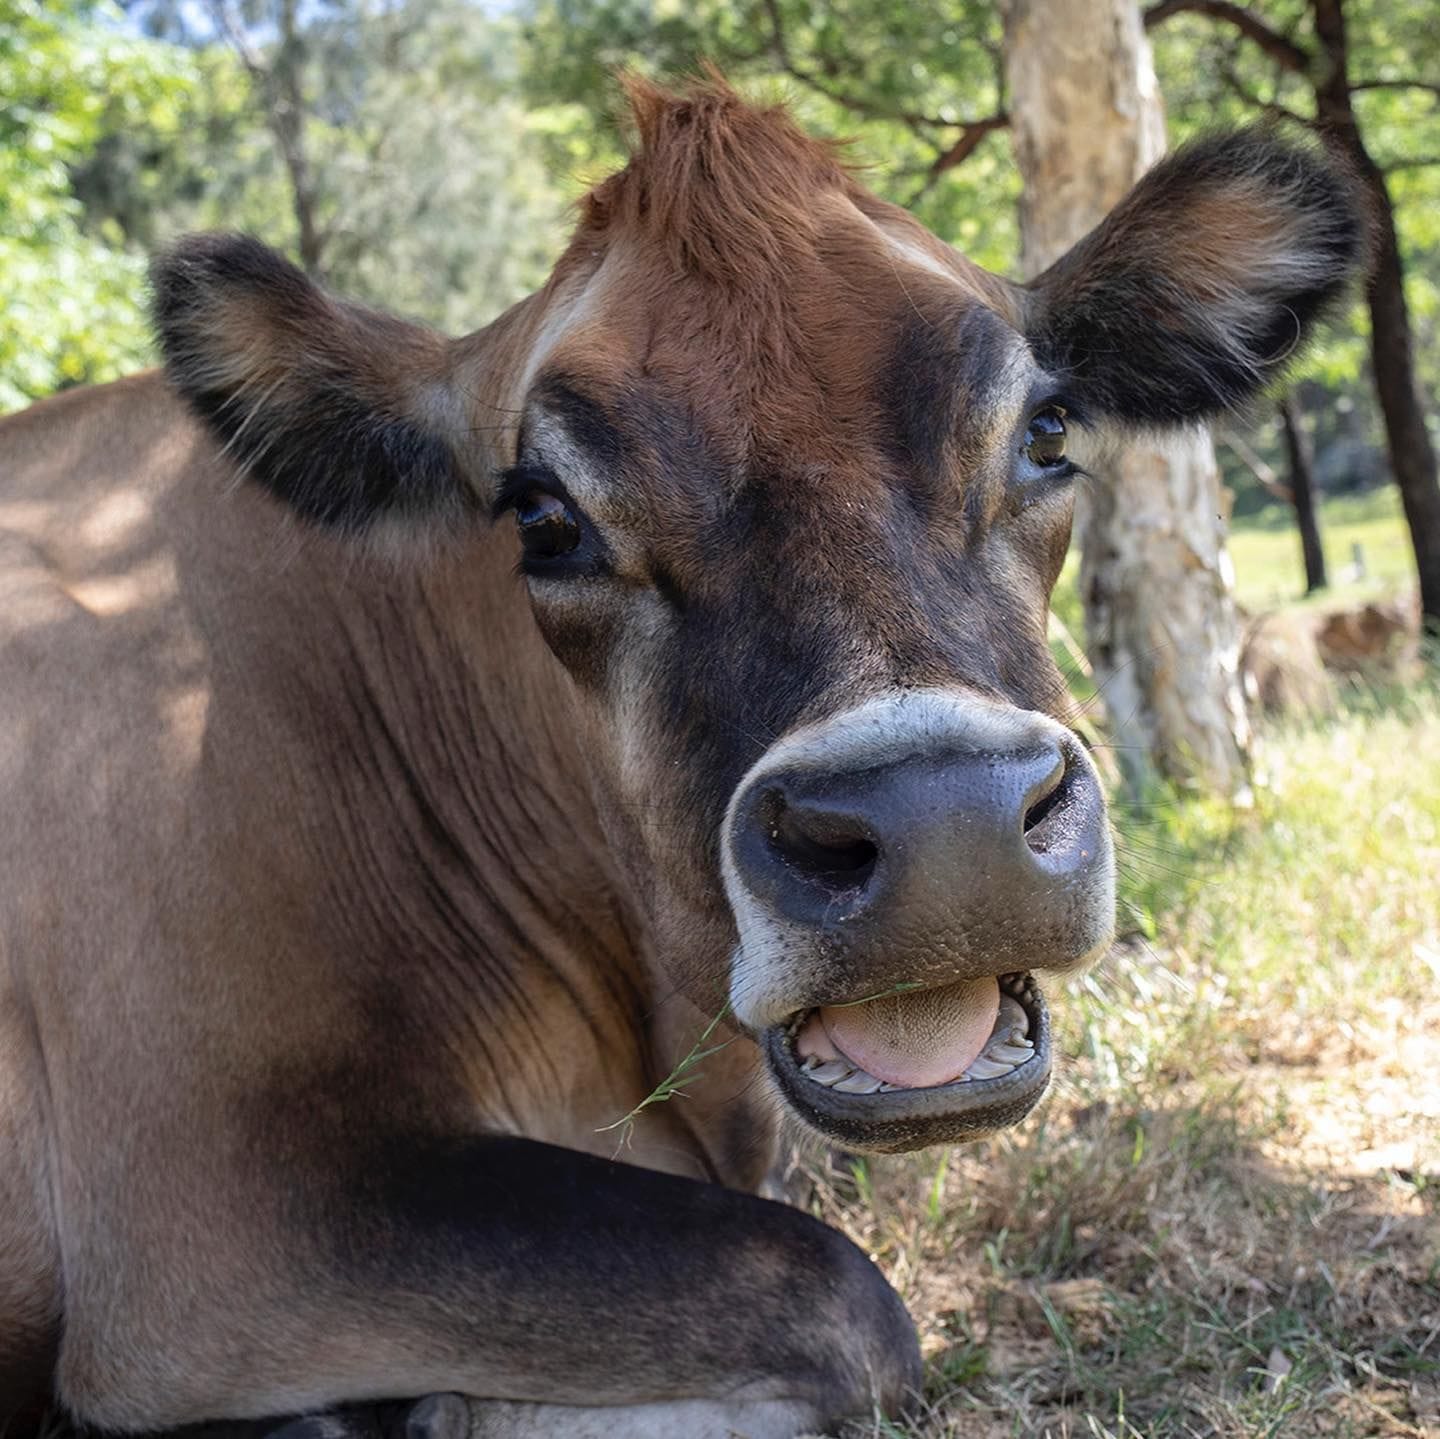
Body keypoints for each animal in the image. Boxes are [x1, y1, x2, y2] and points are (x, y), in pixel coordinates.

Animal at [0, 75, 1359, 1439]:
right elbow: (840, 1299)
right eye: (544, 517)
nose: (944, 823)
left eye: (1048, 429)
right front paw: (426, 1409)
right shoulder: (216, 1205)